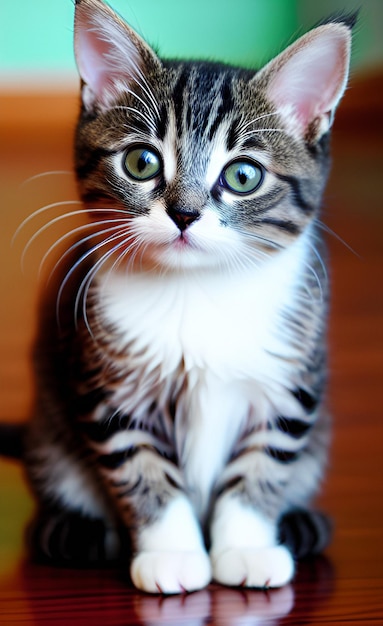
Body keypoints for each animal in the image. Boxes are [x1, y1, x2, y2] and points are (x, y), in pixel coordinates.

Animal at [3, 0, 356, 588]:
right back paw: (76, 528)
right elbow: (143, 469)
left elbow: (262, 464)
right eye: (141, 163)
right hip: (49, 431)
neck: (197, 289)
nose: (185, 213)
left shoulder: (289, 385)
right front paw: (172, 554)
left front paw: (246, 547)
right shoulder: (110, 392)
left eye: (243, 175)